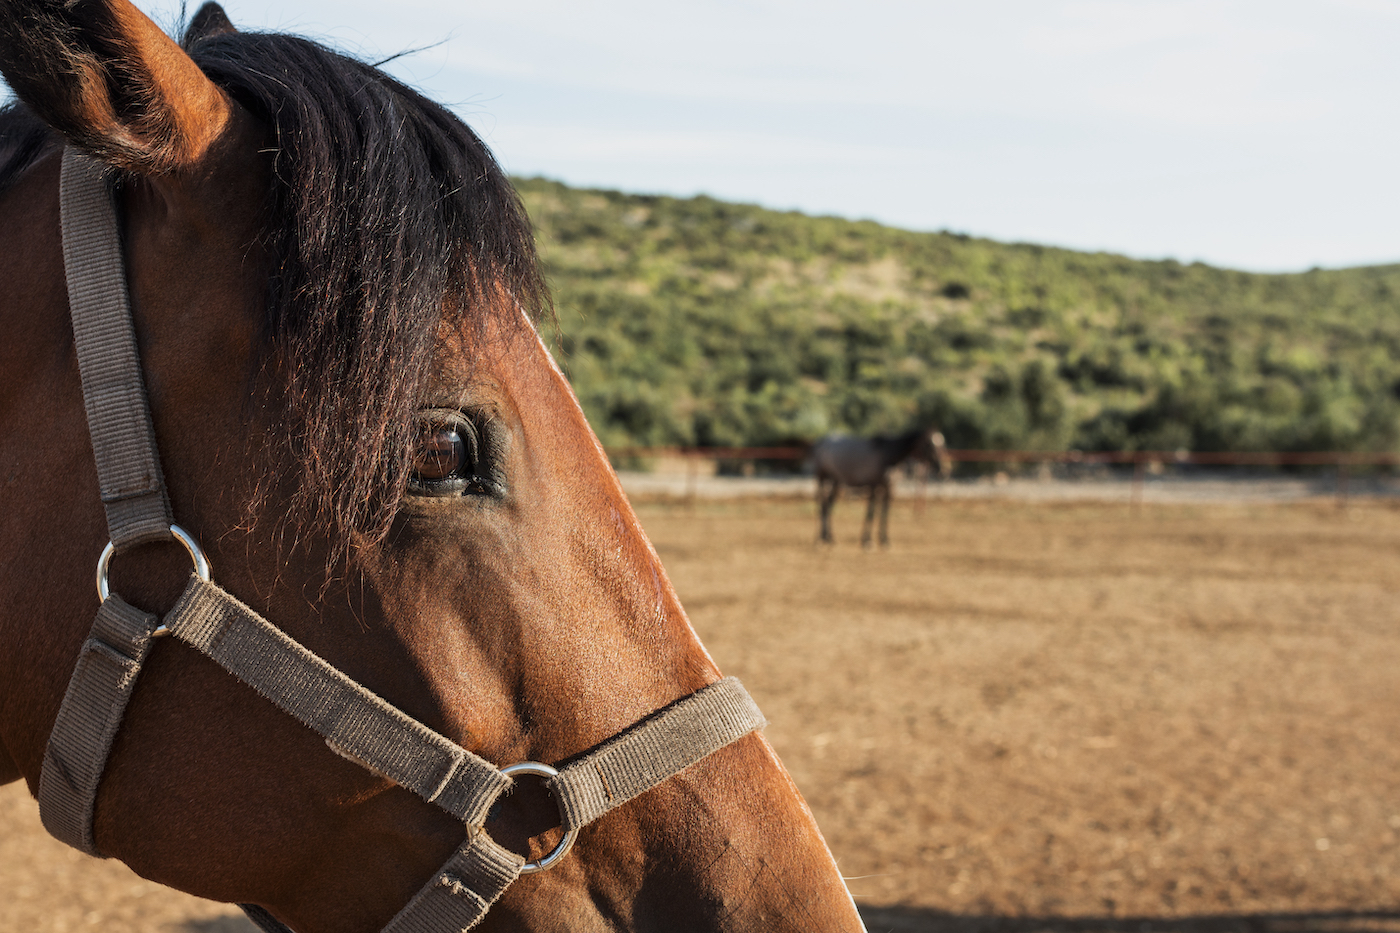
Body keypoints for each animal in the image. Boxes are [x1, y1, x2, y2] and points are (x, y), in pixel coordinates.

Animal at [811, 429, 949, 547]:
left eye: (942, 443)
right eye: (929, 444)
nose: (941, 468)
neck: (886, 456)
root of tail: (823, 441)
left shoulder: (889, 488)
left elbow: (884, 511)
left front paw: (884, 540)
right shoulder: (873, 486)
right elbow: (871, 511)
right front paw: (867, 541)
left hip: (836, 481)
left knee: (829, 504)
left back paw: (829, 537)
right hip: (822, 477)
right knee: (822, 504)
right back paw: (820, 538)